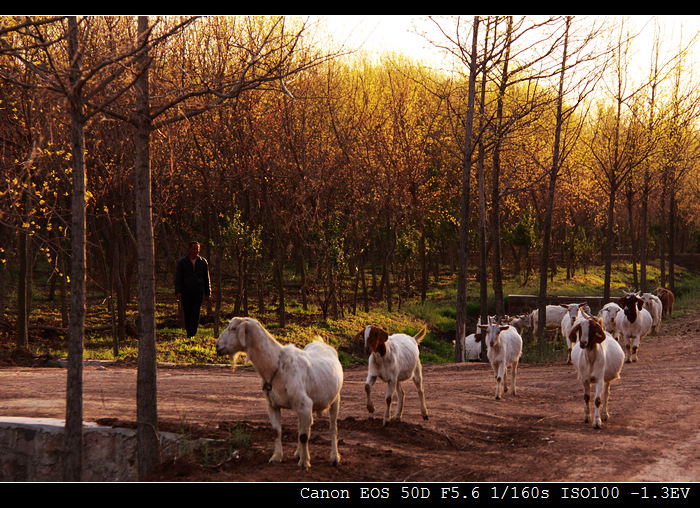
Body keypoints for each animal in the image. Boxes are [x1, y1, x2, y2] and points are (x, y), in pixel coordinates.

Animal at [215, 318, 344, 468]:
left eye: (234, 328)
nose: (217, 346)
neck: (277, 366)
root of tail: (321, 343)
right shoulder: (273, 405)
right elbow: (277, 431)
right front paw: (276, 457)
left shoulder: (305, 405)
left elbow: (304, 436)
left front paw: (305, 462)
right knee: (301, 426)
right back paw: (298, 453)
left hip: (336, 399)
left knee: (333, 428)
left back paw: (334, 457)